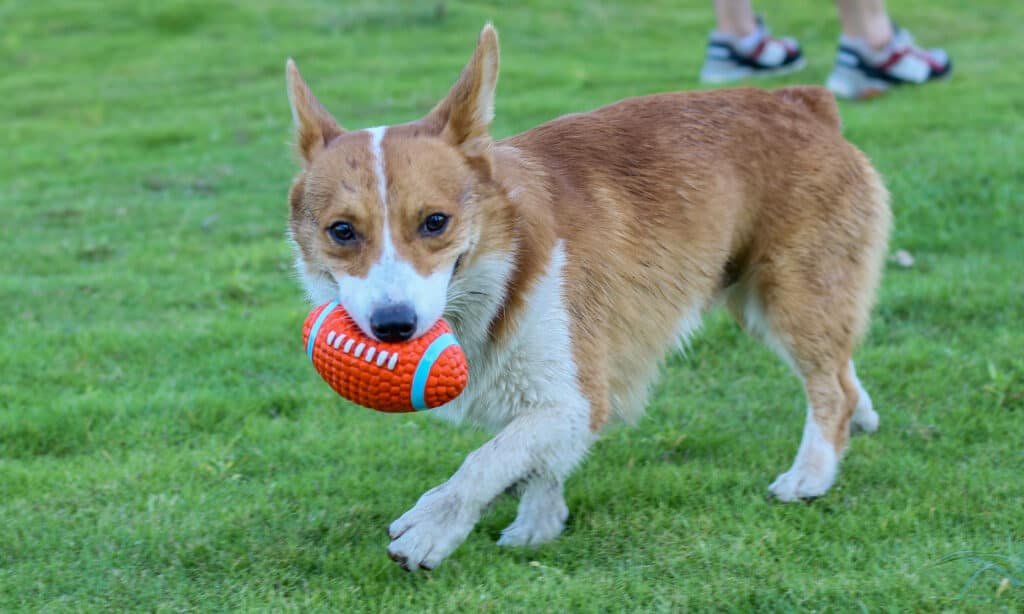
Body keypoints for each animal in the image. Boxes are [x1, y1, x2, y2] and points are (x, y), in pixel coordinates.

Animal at [284, 25, 892, 568]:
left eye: (435, 222)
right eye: (342, 231)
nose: (394, 326)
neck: (495, 276)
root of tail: (803, 103)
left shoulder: (577, 394)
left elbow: (489, 459)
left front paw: (434, 525)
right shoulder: (553, 397)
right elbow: (537, 460)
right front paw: (539, 522)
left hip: (791, 295)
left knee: (828, 386)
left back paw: (811, 474)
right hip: (754, 300)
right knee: (839, 366)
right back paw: (860, 417)